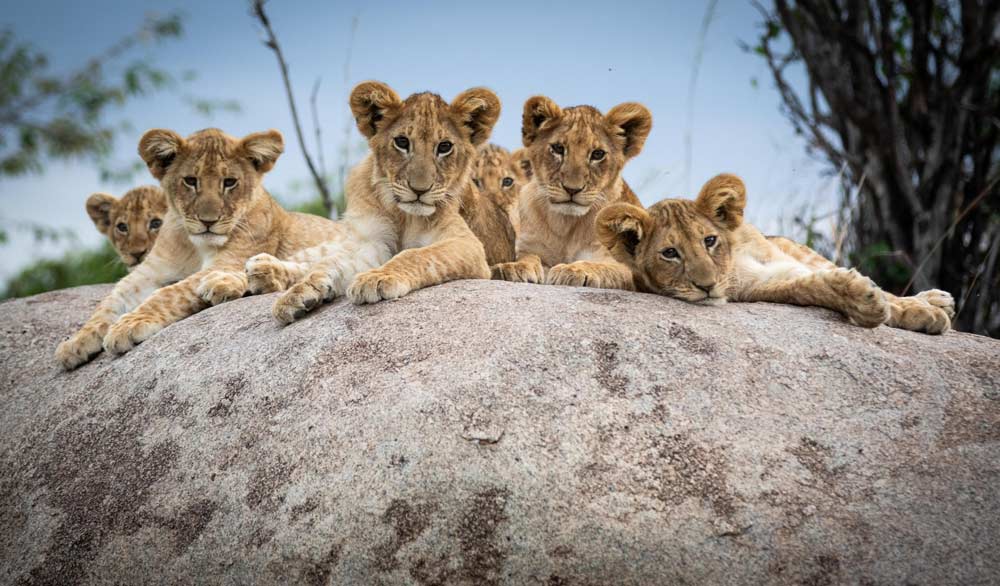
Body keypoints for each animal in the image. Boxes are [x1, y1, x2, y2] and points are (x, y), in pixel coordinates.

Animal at [55, 128, 342, 370]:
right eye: (191, 181)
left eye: (229, 182)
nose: (208, 221)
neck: (193, 245)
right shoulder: (146, 273)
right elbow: (107, 304)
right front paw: (75, 342)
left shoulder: (229, 259)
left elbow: (167, 293)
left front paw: (128, 325)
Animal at [244, 81, 497, 323]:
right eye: (402, 142)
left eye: (444, 146)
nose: (419, 190)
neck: (405, 215)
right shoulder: (374, 240)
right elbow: (336, 263)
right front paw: (301, 292)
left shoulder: (468, 245)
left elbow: (416, 254)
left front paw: (378, 277)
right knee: (318, 257)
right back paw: (262, 269)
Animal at [491, 96, 652, 291]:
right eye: (558, 148)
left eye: (597, 154)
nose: (572, 189)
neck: (565, 225)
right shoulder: (531, 247)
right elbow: (529, 257)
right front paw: (514, 267)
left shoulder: (623, 267)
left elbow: (599, 266)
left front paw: (571, 270)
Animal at [595, 173, 956, 334]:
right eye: (670, 253)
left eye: (709, 240)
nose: (707, 286)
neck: (732, 263)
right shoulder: (761, 285)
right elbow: (811, 287)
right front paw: (866, 302)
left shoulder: (779, 261)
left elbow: (886, 295)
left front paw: (920, 310)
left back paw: (937, 299)